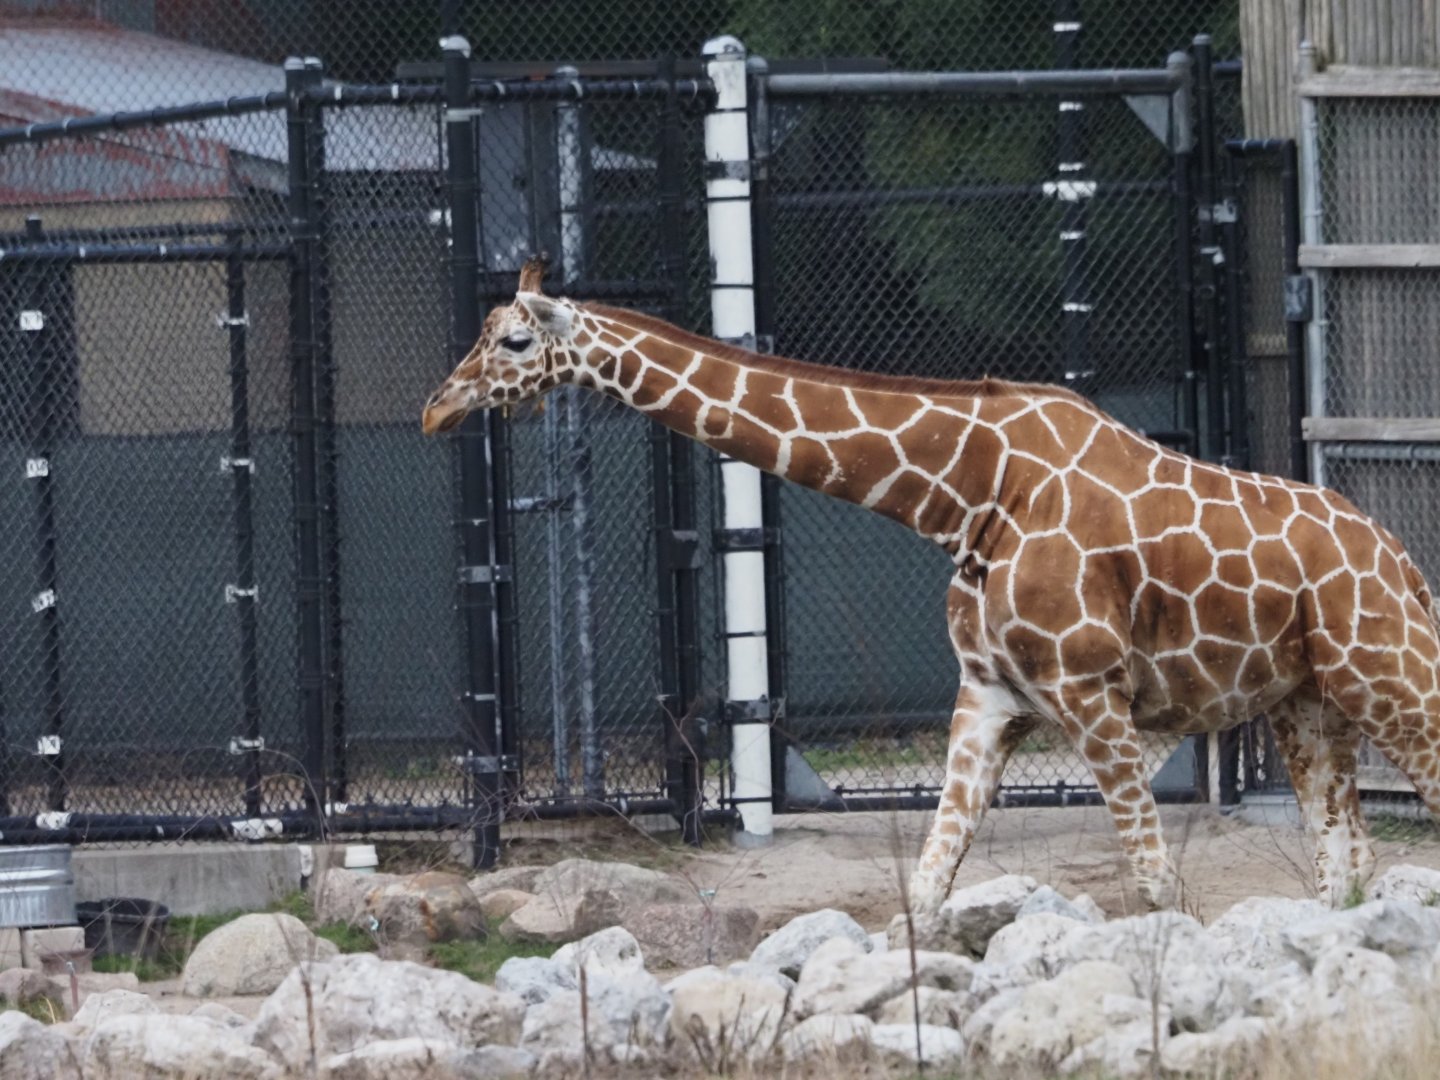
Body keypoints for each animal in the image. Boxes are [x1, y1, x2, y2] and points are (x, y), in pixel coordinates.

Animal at [422, 258, 1440, 911]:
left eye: (514, 341)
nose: (437, 407)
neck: (968, 493)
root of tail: (1402, 561)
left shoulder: (1093, 693)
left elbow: (1154, 883)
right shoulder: (988, 695)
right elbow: (929, 876)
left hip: (1392, 679)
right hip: (1310, 704)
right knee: (1343, 860)